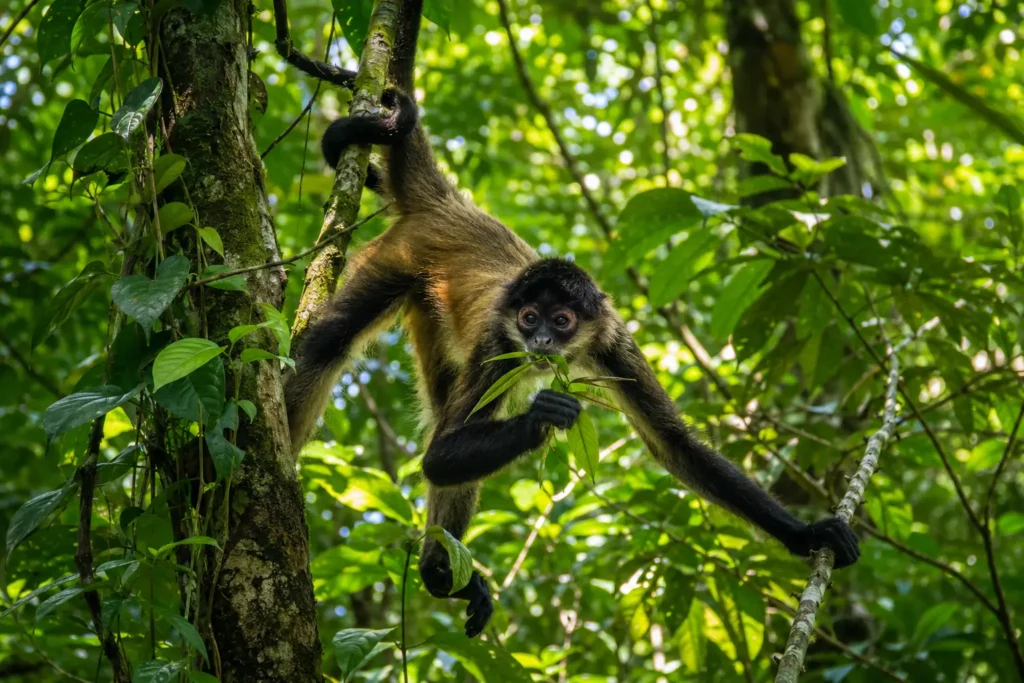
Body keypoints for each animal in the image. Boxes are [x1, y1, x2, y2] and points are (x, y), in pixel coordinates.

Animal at [285, 0, 859, 639]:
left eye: (561, 320)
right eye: (531, 316)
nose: (538, 339)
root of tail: (449, 204)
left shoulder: (611, 341)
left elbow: (675, 446)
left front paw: (808, 534)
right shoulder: (499, 341)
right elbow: (440, 453)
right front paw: (546, 416)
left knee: (439, 405)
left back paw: (438, 571)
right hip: (398, 262)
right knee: (329, 347)